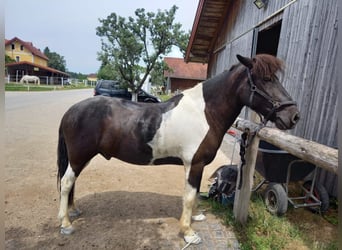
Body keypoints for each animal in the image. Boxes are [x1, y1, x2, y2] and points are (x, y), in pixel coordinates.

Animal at [56, 53, 300, 243]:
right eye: (266, 79)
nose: (294, 115)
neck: (204, 113)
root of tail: (71, 111)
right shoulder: (195, 163)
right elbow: (190, 196)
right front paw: (189, 232)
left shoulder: (193, 165)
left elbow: (192, 194)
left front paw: (194, 219)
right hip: (78, 157)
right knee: (67, 182)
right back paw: (66, 223)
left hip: (82, 158)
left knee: (72, 182)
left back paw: (73, 210)